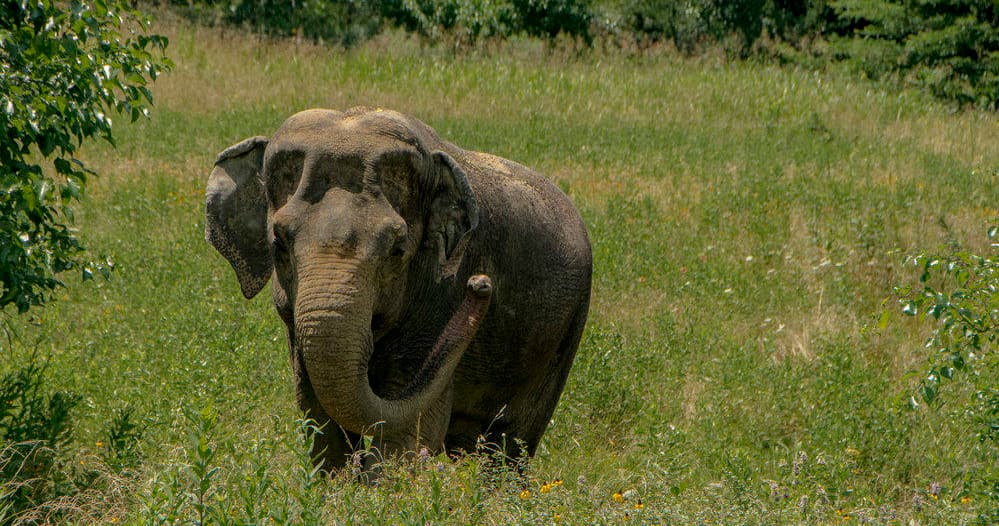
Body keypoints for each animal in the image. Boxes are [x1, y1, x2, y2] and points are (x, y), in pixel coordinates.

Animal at [205, 107, 592, 470]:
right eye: (278, 244)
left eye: (397, 249)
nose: (481, 284)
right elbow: (318, 415)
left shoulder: (441, 297)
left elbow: (406, 429)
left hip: (563, 338)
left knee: (511, 446)